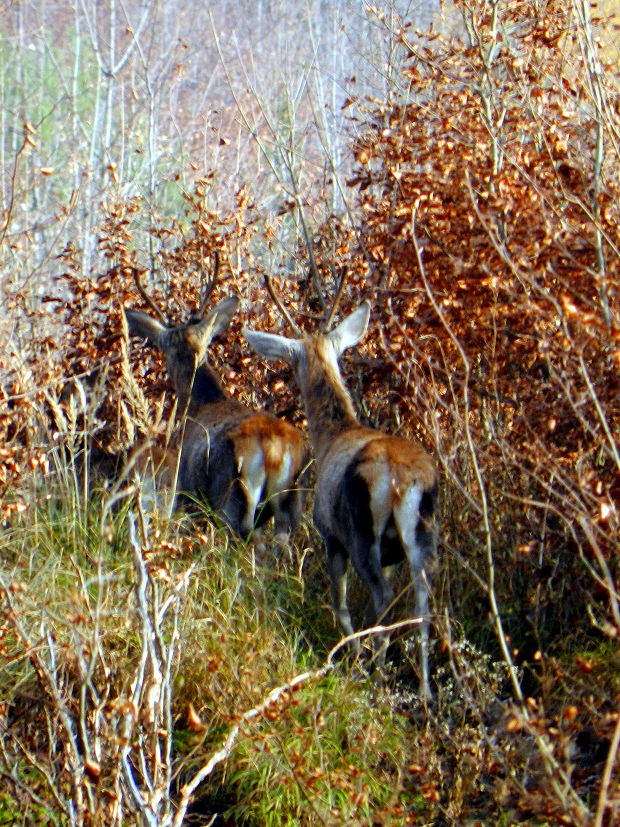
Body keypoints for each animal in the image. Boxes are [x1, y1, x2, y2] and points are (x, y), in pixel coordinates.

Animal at [245, 298, 438, 700]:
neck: (334, 435)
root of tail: (402, 480)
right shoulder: (390, 557)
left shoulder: (330, 535)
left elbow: (341, 604)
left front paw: (353, 656)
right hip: (422, 535)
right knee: (422, 603)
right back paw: (425, 692)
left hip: (360, 532)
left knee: (383, 596)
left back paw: (376, 679)